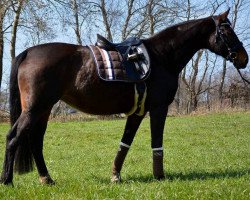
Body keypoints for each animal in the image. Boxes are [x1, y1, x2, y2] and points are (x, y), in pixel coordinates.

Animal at [0, 9, 248, 184]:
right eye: (227, 32)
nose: (243, 58)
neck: (161, 56)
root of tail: (28, 52)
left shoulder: (137, 112)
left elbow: (125, 143)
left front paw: (115, 176)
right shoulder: (159, 108)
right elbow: (157, 143)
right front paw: (160, 176)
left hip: (44, 109)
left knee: (35, 141)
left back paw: (47, 179)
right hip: (35, 108)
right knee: (13, 137)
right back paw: (8, 181)